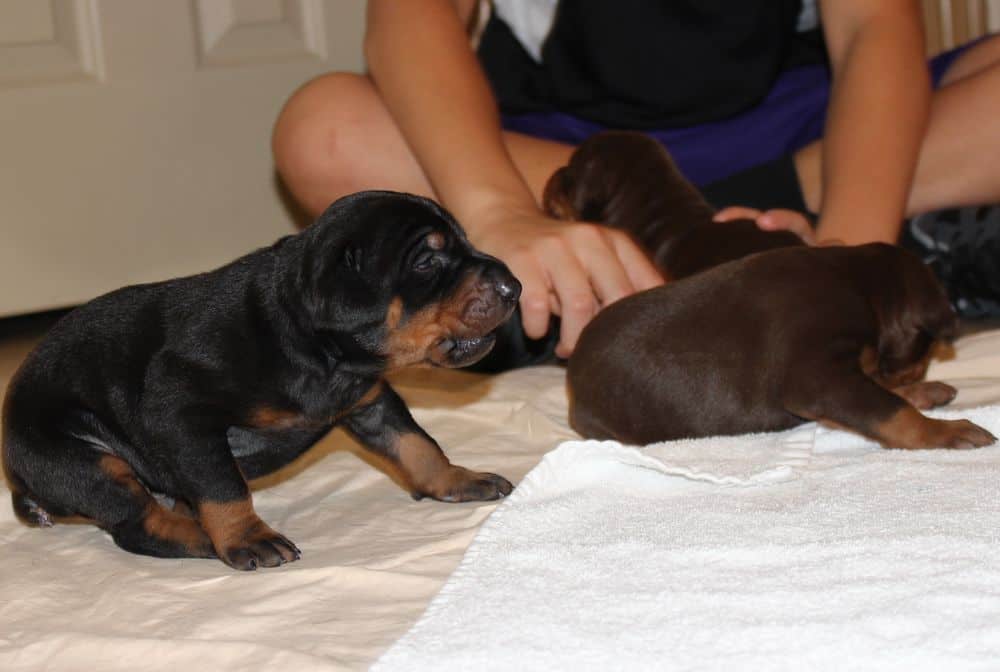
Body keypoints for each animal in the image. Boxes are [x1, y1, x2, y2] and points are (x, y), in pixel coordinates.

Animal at [5, 190, 524, 572]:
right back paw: (202, 537)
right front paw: (246, 537)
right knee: (135, 523)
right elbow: (223, 486)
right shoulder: (180, 411)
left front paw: (458, 479)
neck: (319, 353)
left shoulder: (371, 401)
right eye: (425, 262)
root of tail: (18, 477)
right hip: (80, 455)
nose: (514, 287)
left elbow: (417, 444)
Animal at [548, 130, 992, 452]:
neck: (862, 284)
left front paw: (921, 392)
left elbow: (878, 391)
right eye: (928, 347)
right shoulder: (815, 375)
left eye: (569, 174)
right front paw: (945, 430)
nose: (552, 177)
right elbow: (886, 409)